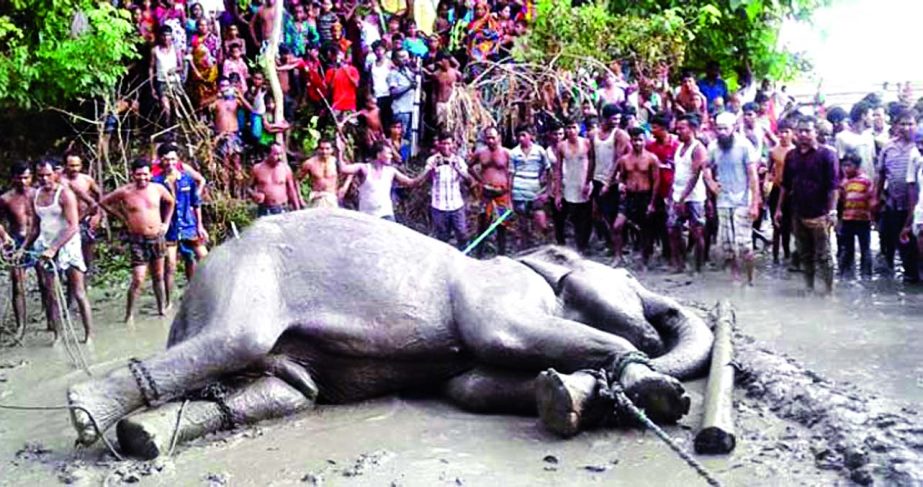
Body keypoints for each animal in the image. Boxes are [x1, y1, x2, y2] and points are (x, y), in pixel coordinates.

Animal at [67, 209, 716, 458]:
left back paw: (143, 439)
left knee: (284, 392)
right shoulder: (499, 293)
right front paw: (657, 392)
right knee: (236, 341)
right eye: (628, 277)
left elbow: (470, 387)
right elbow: (500, 337)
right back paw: (86, 413)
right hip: (244, 278)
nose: (655, 326)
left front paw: (565, 397)